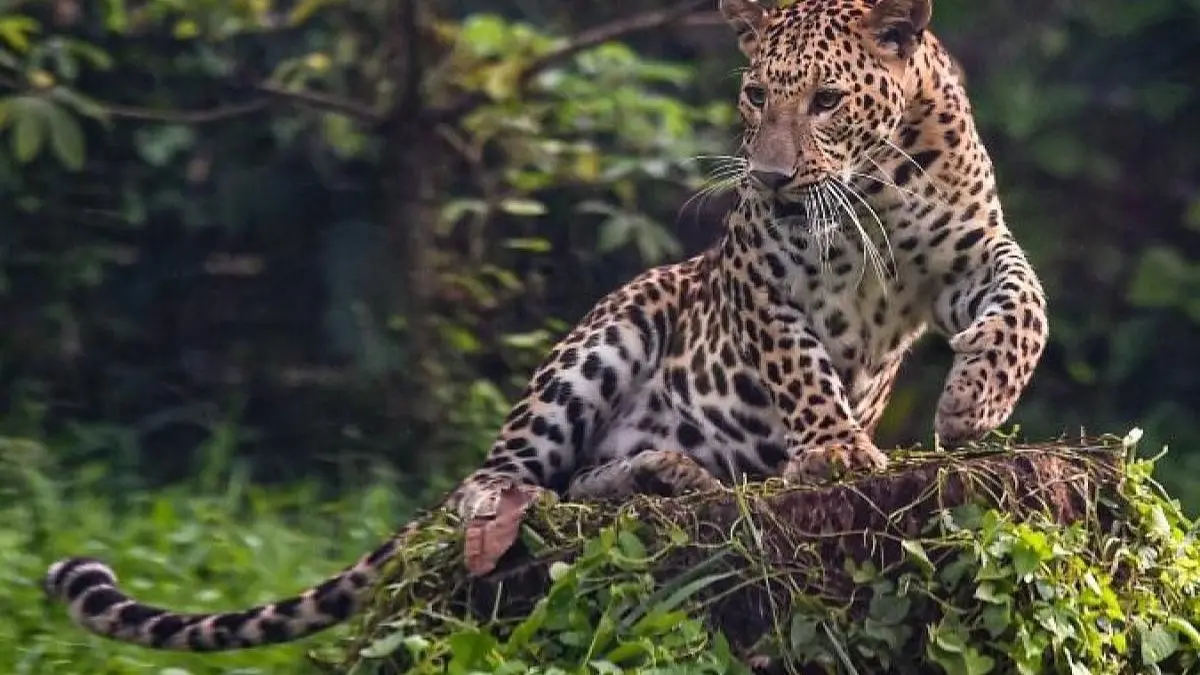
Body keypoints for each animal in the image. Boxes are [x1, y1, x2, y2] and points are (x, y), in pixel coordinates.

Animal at [44, 0, 1048, 653]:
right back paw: (527, 512)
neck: (874, 182)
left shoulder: (973, 249)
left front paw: (972, 403)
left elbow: (1024, 303)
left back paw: (673, 474)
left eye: (829, 102)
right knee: (502, 482)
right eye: (757, 95)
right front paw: (839, 450)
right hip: (616, 326)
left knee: (589, 485)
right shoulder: (764, 280)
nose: (766, 178)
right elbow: (799, 366)